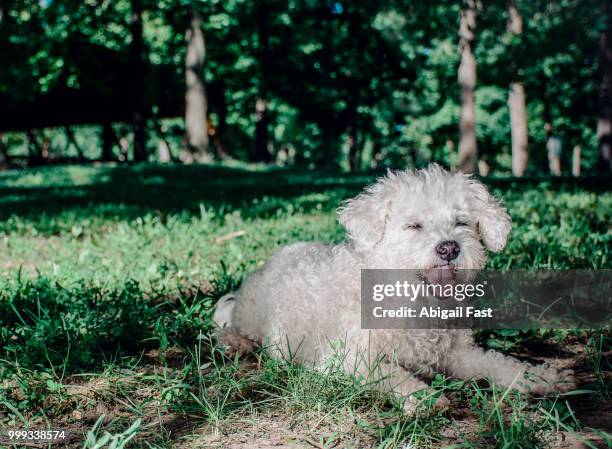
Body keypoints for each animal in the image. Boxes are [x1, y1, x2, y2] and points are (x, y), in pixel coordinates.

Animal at [214, 163, 572, 412]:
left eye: (461, 222)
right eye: (413, 226)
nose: (449, 248)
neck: (414, 299)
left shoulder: (457, 354)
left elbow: (496, 362)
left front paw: (537, 378)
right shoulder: (344, 359)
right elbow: (389, 373)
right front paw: (424, 398)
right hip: (255, 316)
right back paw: (235, 341)